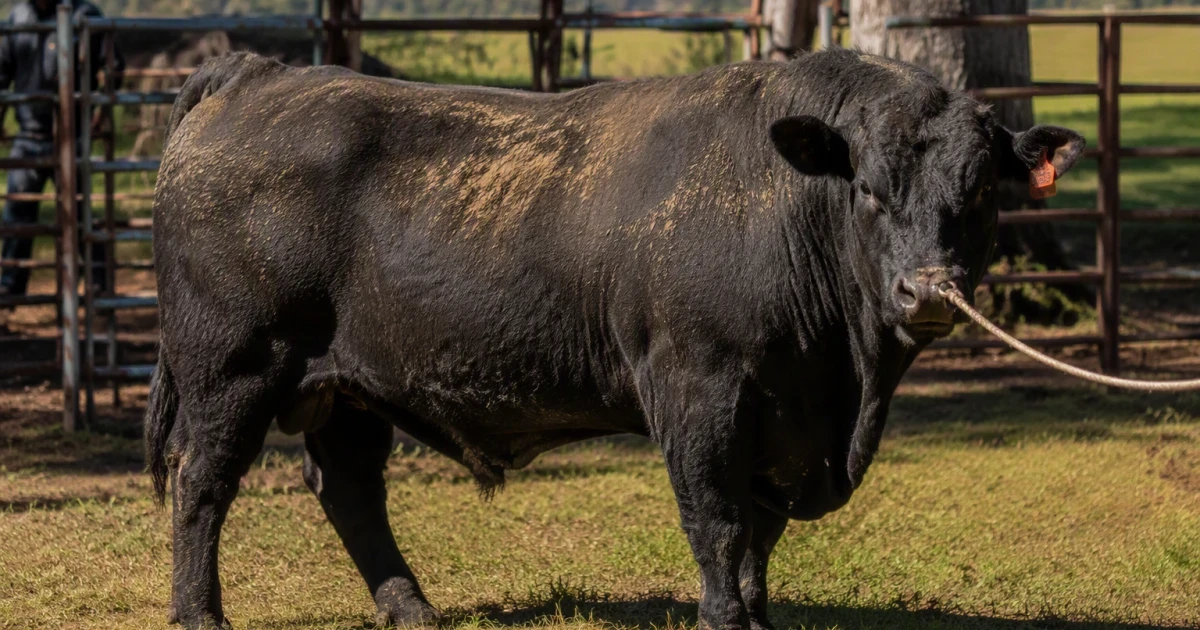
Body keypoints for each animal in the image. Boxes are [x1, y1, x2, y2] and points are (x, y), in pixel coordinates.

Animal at [145, 50, 1083, 630]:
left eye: (981, 192)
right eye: (870, 189)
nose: (926, 290)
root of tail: (253, 77)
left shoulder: (782, 421)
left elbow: (759, 534)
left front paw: (757, 612)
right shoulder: (700, 391)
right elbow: (718, 522)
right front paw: (722, 616)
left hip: (350, 389)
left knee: (348, 489)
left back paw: (410, 607)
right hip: (234, 366)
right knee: (202, 482)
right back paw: (201, 611)